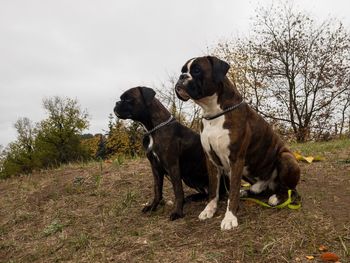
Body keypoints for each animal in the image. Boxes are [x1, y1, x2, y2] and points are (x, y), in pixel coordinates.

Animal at [114, 86, 219, 221]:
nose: (116, 103)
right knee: (205, 191)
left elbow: (178, 190)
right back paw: (194, 197)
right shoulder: (155, 167)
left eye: (128, 99)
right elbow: (157, 189)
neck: (153, 129)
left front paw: (177, 212)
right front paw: (153, 206)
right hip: (188, 178)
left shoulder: (173, 165)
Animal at [174, 56, 300, 231]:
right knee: (262, 186)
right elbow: (213, 189)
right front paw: (209, 209)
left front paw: (230, 217)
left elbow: (232, 192)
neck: (214, 113)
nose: (181, 77)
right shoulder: (211, 160)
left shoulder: (236, 159)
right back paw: (251, 190)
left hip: (286, 158)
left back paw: (276, 197)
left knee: (291, 190)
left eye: (197, 70)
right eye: (183, 71)